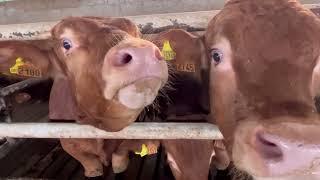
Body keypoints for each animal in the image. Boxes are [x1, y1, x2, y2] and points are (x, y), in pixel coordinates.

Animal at [0, 16, 169, 177]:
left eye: (136, 33)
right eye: (66, 44)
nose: (141, 51)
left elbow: (120, 159)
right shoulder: (70, 144)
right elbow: (91, 166)